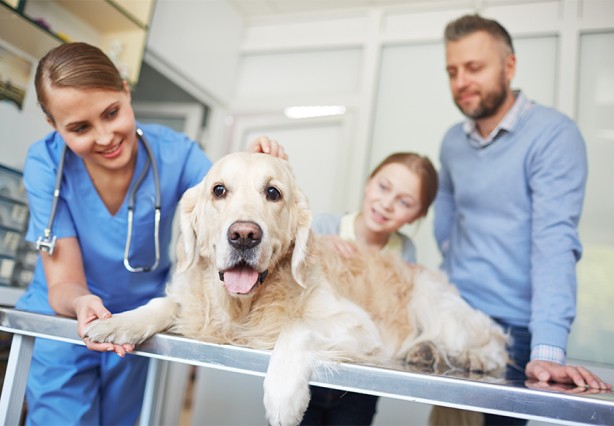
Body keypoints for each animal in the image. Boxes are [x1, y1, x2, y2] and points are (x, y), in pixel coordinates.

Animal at [86, 151, 510, 424]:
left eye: (273, 193)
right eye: (219, 190)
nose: (244, 235)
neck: (244, 305)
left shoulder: (358, 327)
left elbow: (296, 327)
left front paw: (282, 397)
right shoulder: (195, 306)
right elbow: (160, 305)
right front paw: (116, 322)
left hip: (429, 297)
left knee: (494, 346)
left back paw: (463, 356)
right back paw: (426, 352)